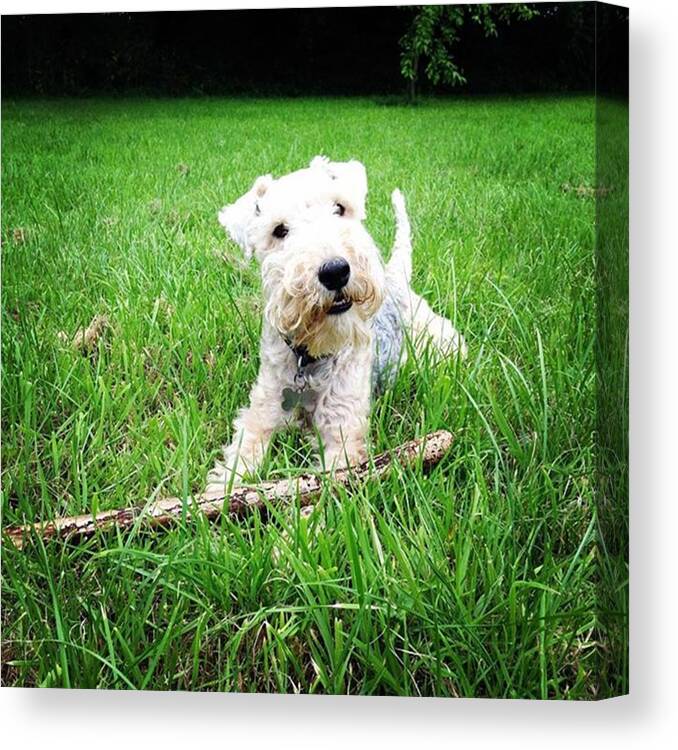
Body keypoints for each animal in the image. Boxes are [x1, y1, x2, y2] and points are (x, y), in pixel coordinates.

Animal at [205, 156, 464, 490]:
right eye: (279, 230)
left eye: (339, 208)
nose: (335, 271)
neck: (308, 357)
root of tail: (396, 277)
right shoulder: (261, 411)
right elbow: (241, 455)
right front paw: (221, 490)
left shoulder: (342, 426)